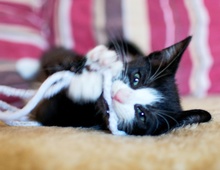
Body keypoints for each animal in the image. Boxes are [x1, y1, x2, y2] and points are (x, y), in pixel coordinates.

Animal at [31, 36, 211, 136]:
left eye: (142, 114)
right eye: (136, 79)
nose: (119, 96)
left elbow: (50, 110)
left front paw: (85, 85)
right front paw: (101, 59)